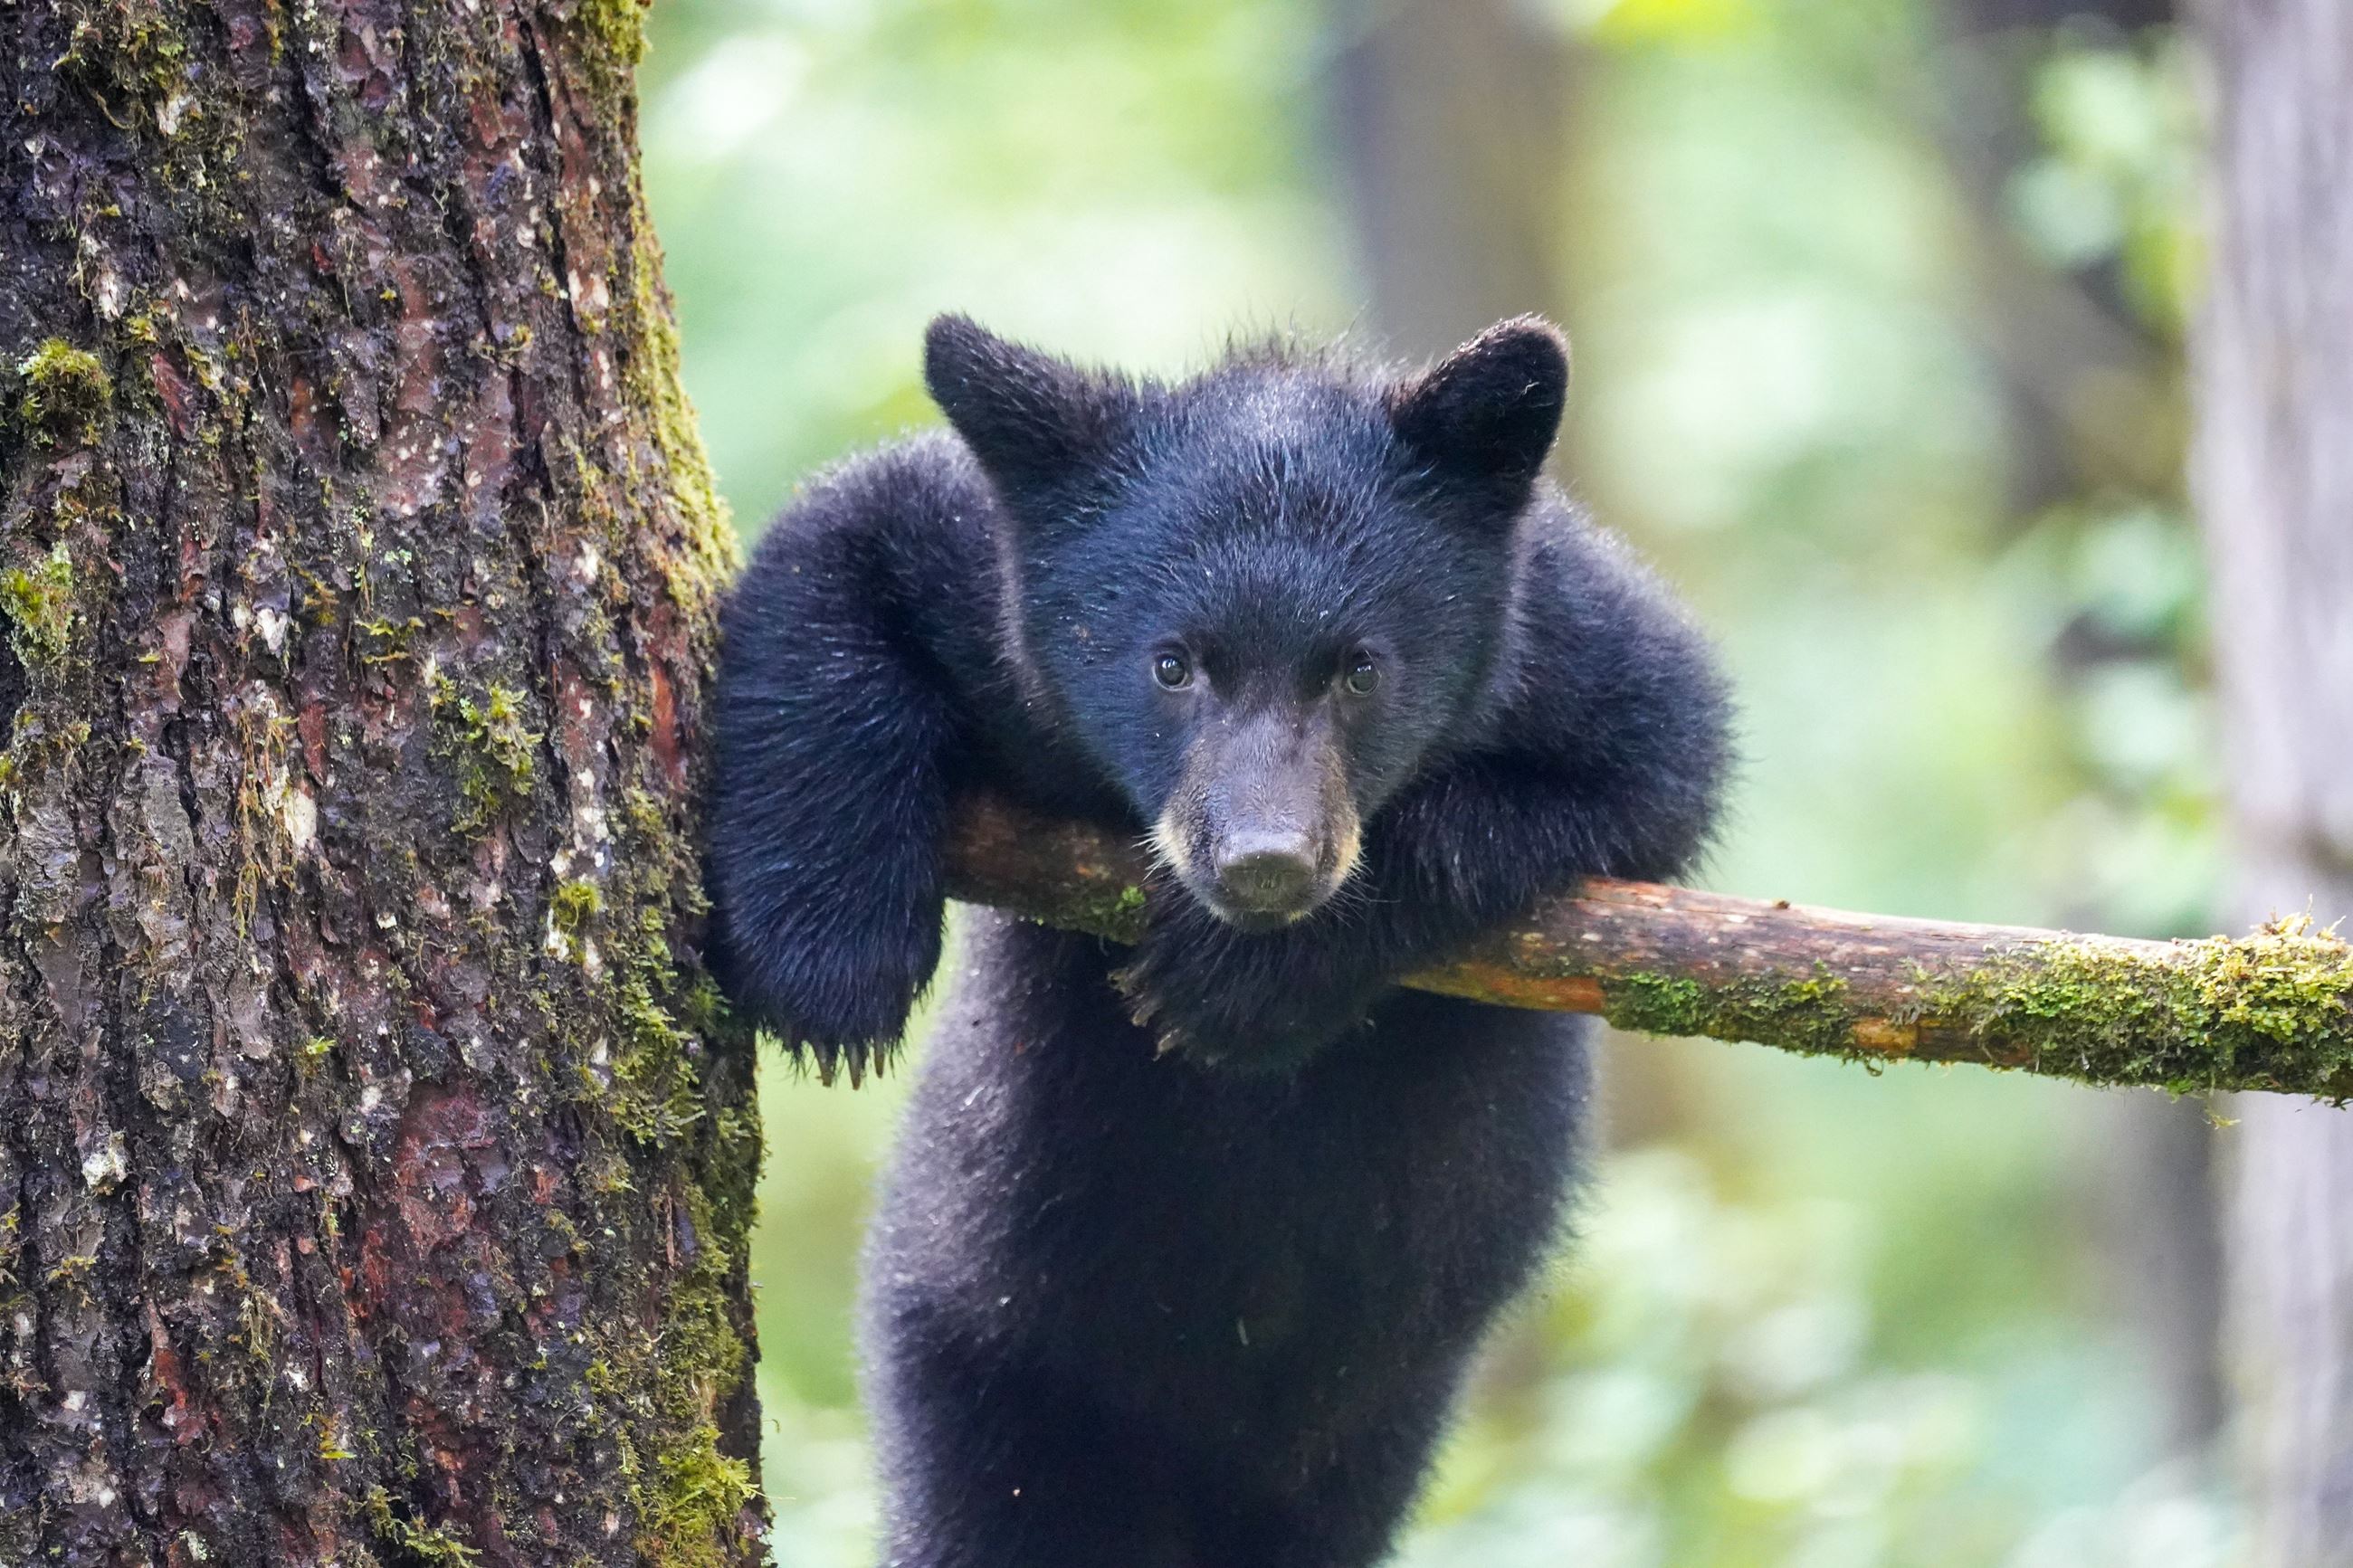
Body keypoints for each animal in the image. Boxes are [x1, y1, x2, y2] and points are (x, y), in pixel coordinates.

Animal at [708, 313, 1733, 1568]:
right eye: (1169, 661)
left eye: (1358, 666)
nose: (1264, 859)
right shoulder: (998, 598)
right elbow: (840, 537)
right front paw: (826, 954)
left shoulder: (1574, 645)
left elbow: (1664, 759)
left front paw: (1248, 978)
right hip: (981, 1356)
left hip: (1370, 1433)